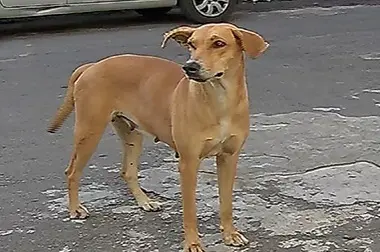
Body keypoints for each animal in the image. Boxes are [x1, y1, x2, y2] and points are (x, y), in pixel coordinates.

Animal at [47, 22, 268, 251]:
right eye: (192, 44)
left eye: (219, 43)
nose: (190, 67)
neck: (219, 99)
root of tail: (92, 66)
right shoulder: (188, 163)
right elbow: (190, 211)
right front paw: (192, 243)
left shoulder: (229, 158)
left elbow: (226, 203)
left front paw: (230, 234)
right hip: (89, 131)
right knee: (72, 172)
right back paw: (75, 208)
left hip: (132, 134)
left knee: (128, 172)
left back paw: (145, 202)